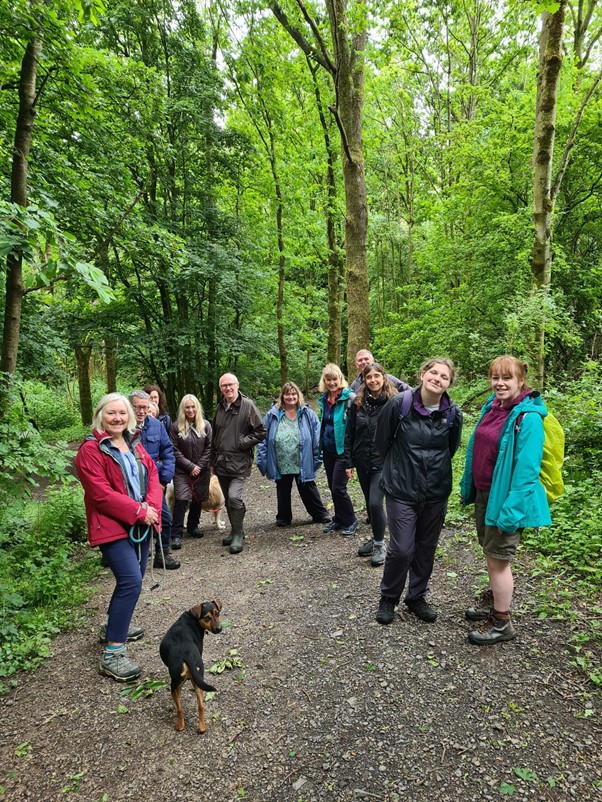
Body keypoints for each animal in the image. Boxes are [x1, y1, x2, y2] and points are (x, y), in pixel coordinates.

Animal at [159, 600, 223, 732]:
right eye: (207, 617)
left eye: (217, 613)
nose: (219, 629)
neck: (191, 617)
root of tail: (186, 653)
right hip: (197, 680)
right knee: (200, 706)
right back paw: (202, 728)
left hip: (175, 686)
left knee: (179, 709)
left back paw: (180, 726)